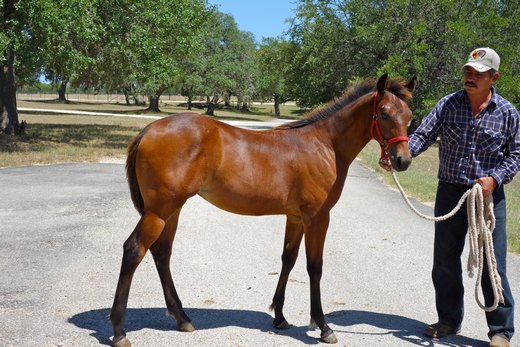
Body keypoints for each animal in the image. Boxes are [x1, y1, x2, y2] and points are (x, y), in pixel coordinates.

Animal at [111, 73, 416, 346]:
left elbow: (288, 259)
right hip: (160, 211)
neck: (325, 145)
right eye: (384, 114)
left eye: (409, 115)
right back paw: (119, 331)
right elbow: (314, 267)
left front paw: (279, 317)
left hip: (171, 210)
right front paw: (323, 327)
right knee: (134, 249)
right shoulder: (317, 217)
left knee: (162, 253)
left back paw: (183, 319)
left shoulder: (296, 217)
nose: (402, 161)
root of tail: (148, 130)